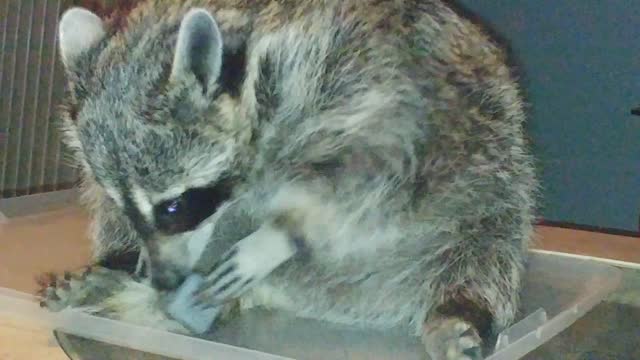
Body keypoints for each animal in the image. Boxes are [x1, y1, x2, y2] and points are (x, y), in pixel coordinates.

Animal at [40, 1, 536, 358]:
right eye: (128, 205)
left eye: (174, 207)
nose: (161, 280)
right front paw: (131, 258)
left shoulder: (361, 76)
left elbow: (381, 163)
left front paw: (279, 235)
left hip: (488, 192)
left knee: (484, 249)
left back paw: (459, 308)